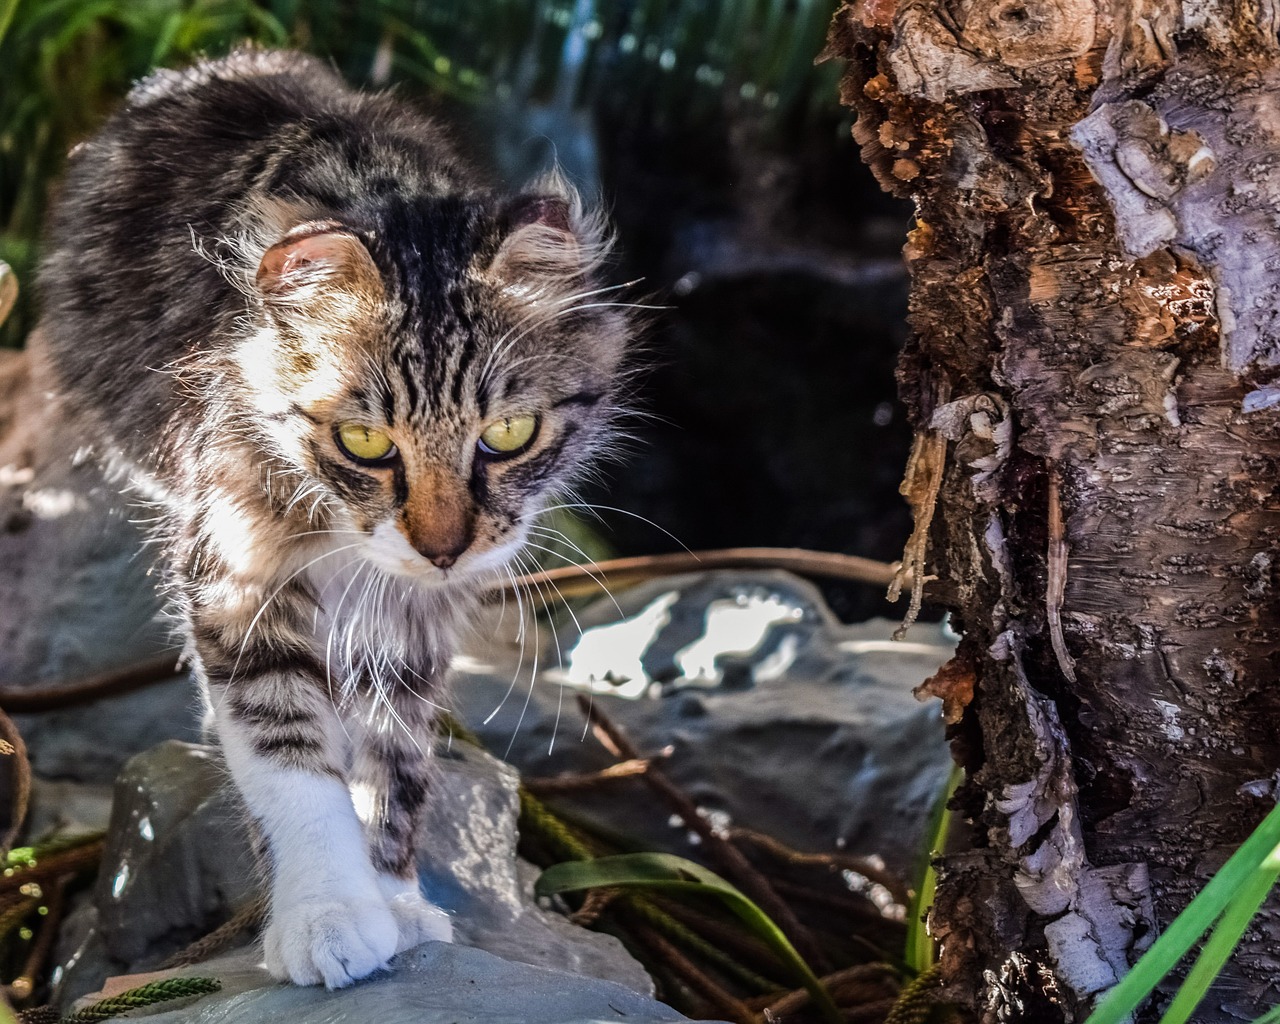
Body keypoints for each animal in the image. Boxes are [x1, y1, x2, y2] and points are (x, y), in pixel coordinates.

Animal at [41, 51, 634, 988]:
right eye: (364, 441)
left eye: (507, 434)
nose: (442, 547)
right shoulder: (237, 576)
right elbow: (290, 761)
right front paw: (326, 914)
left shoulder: (417, 623)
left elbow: (396, 760)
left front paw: (393, 895)